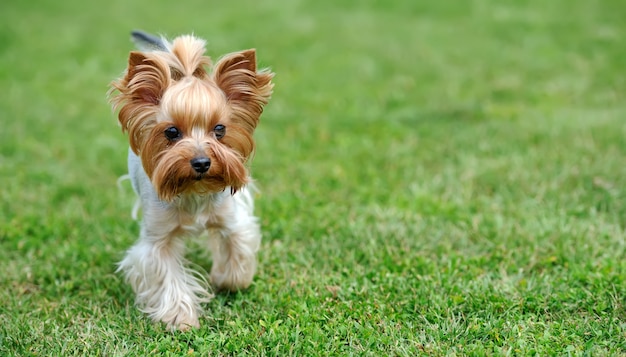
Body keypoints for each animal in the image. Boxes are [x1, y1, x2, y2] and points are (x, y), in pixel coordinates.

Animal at [108, 30, 272, 328]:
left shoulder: (231, 219)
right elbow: (166, 274)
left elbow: (238, 248)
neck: (194, 190)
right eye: (172, 132)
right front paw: (180, 318)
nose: (202, 162)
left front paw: (225, 280)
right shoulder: (157, 239)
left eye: (220, 129)